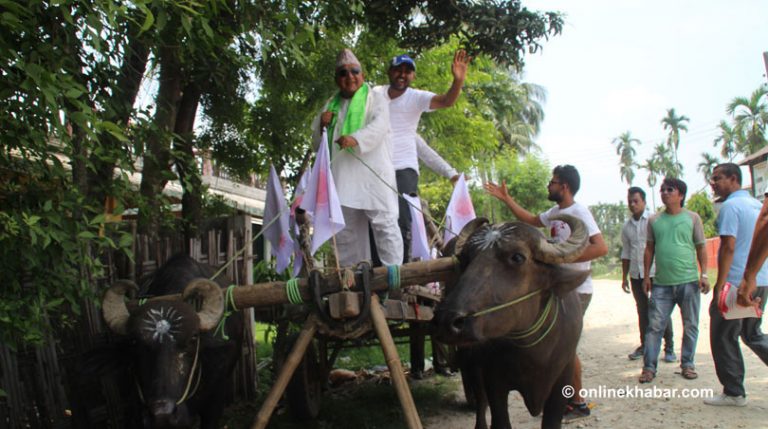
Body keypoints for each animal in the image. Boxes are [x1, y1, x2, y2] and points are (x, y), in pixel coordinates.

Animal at [436, 216, 592, 428]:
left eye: (517, 257)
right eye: (465, 259)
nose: (446, 321)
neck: (534, 351)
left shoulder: (562, 380)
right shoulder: (494, 381)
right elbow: (499, 419)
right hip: (471, 361)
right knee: (480, 401)